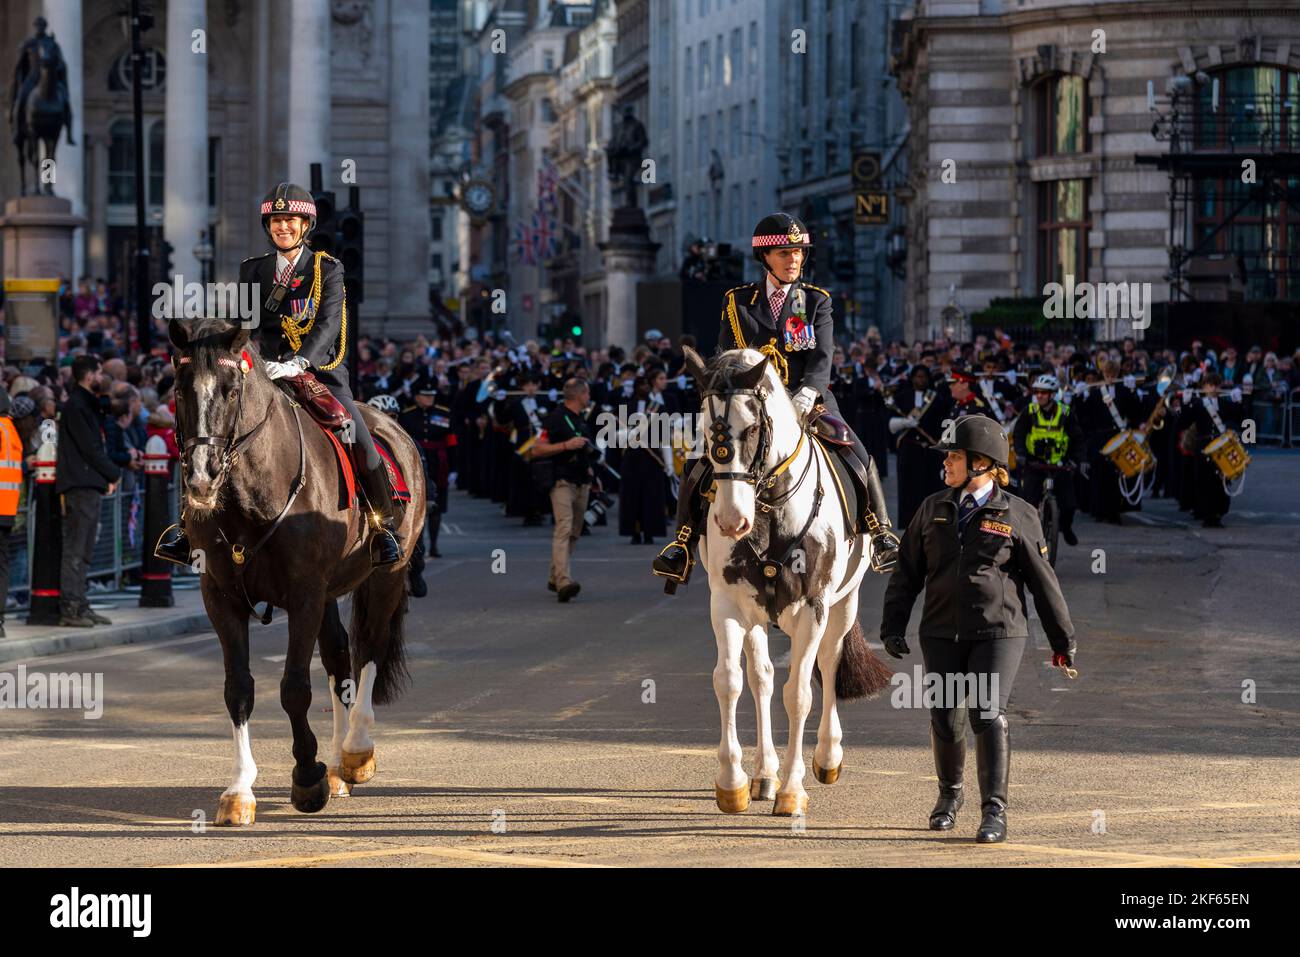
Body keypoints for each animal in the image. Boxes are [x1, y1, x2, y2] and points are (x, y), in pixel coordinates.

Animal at [167, 317, 426, 826]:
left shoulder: (304, 594)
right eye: (179, 387)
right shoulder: (220, 596)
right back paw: (339, 766)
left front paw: (307, 777)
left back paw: (355, 751)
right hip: (328, 592)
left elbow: (293, 688)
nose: (202, 479)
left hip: (387, 574)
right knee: (339, 656)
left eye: (231, 390)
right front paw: (240, 789)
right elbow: (239, 689)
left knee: (370, 647)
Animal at [686, 343, 889, 816]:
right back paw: (765, 774)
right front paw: (733, 782)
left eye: (752, 427)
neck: (770, 510)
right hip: (759, 616)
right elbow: (730, 680)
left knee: (828, 664)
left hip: (843, 604)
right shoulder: (727, 604)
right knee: (761, 676)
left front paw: (794, 790)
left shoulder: (813, 607)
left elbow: (799, 693)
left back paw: (827, 757)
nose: (730, 520)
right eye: (704, 429)